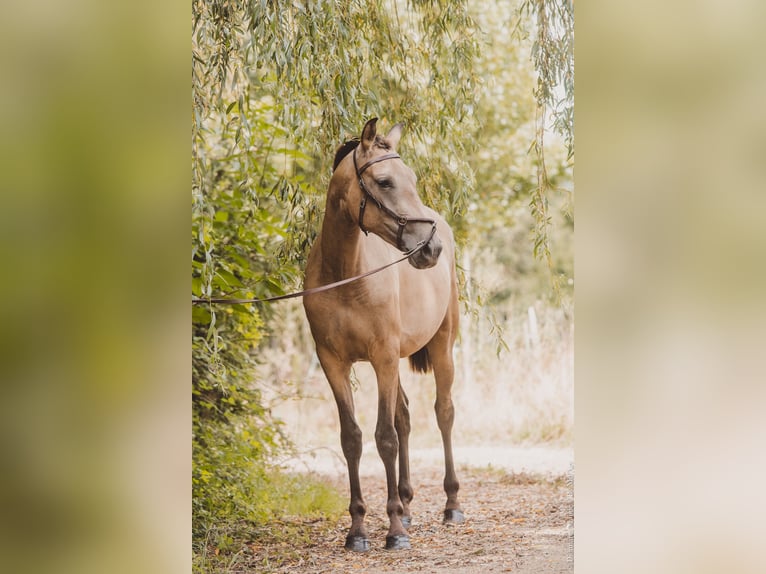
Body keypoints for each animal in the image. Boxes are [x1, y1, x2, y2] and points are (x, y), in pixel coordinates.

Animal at [304, 118, 464, 552]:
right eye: (384, 181)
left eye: (412, 179)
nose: (431, 248)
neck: (344, 275)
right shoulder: (334, 363)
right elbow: (353, 438)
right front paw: (358, 530)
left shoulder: (383, 356)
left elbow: (385, 437)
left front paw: (393, 531)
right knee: (405, 415)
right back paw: (407, 506)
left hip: (441, 347)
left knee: (443, 414)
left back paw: (451, 506)